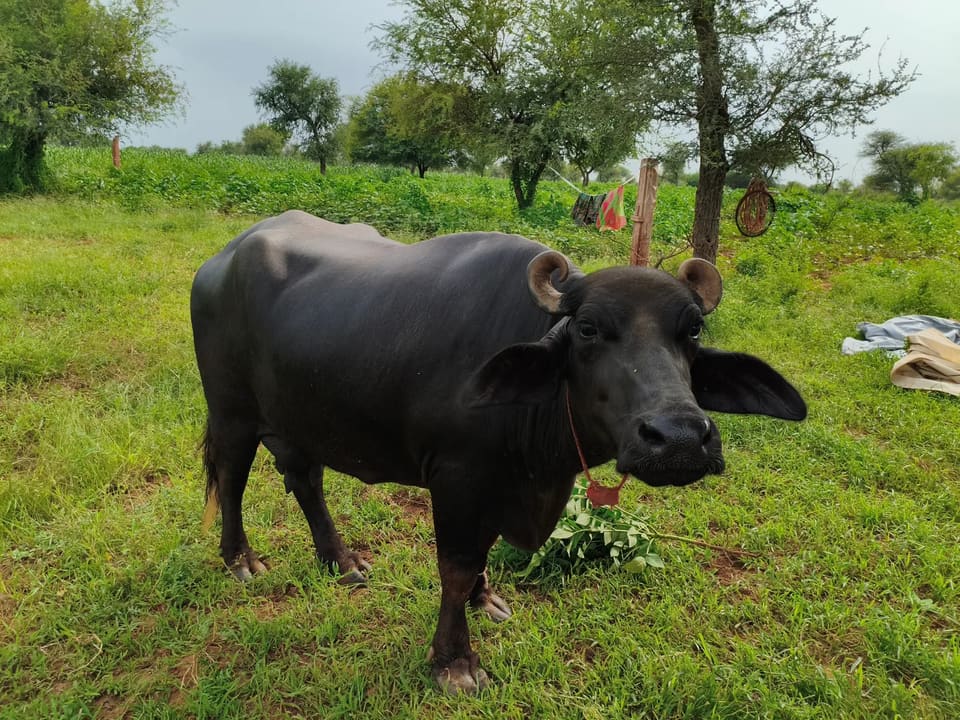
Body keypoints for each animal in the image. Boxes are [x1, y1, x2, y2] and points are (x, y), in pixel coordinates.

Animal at [191, 210, 806, 693]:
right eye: (587, 329)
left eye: (693, 330)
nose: (678, 438)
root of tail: (220, 261)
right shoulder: (458, 479)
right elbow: (457, 567)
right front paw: (455, 662)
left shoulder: (498, 486)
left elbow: (481, 559)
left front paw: (486, 600)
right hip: (231, 412)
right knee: (233, 475)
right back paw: (241, 560)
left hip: (301, 418)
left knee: (304, 479)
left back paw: (342, 561)